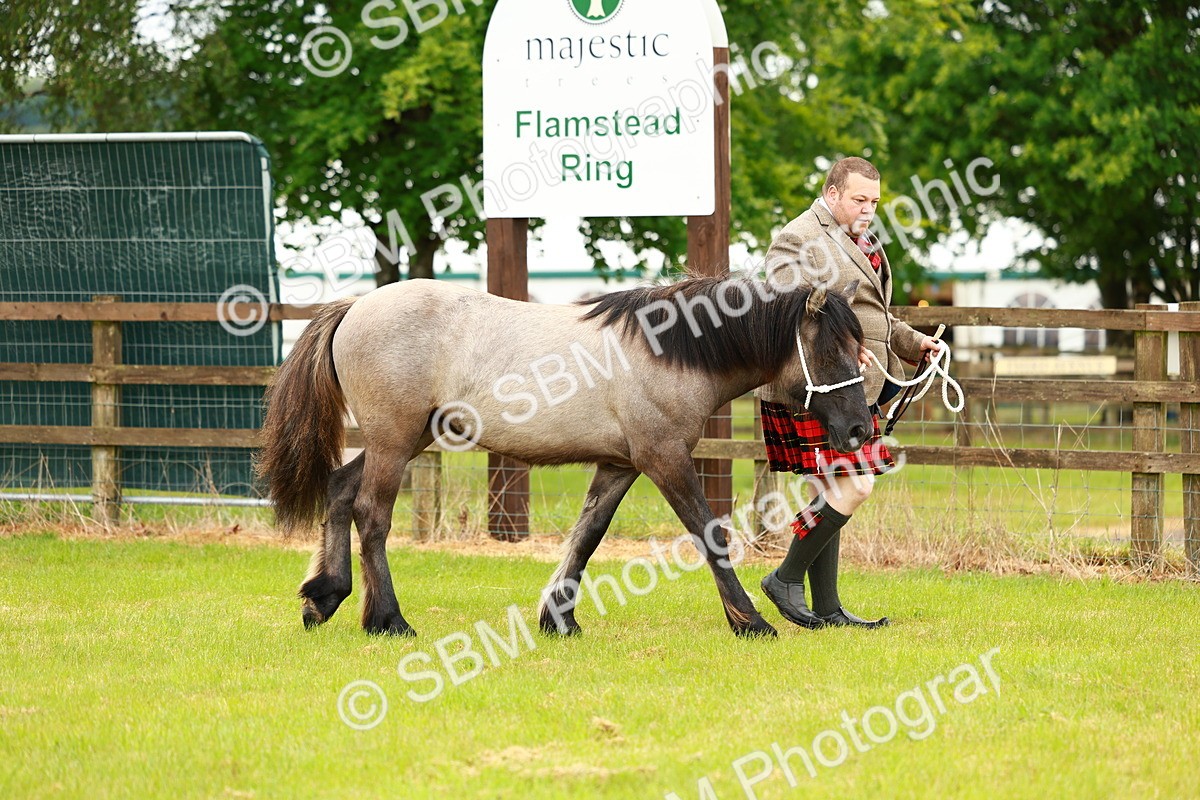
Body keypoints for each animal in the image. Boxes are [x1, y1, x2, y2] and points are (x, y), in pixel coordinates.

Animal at [256, 275, 872, 639]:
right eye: (832, 352)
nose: (861, 428)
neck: (667, 352)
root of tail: (356, 304)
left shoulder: (621, 465)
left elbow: (587, 535)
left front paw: (559, 617)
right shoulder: (665, 458)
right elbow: (708, 533)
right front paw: (750, 622)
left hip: (410, 439)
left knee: (339, 491)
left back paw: (323, 597)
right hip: (393, 441)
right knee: (372, 516)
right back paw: (387, 620)